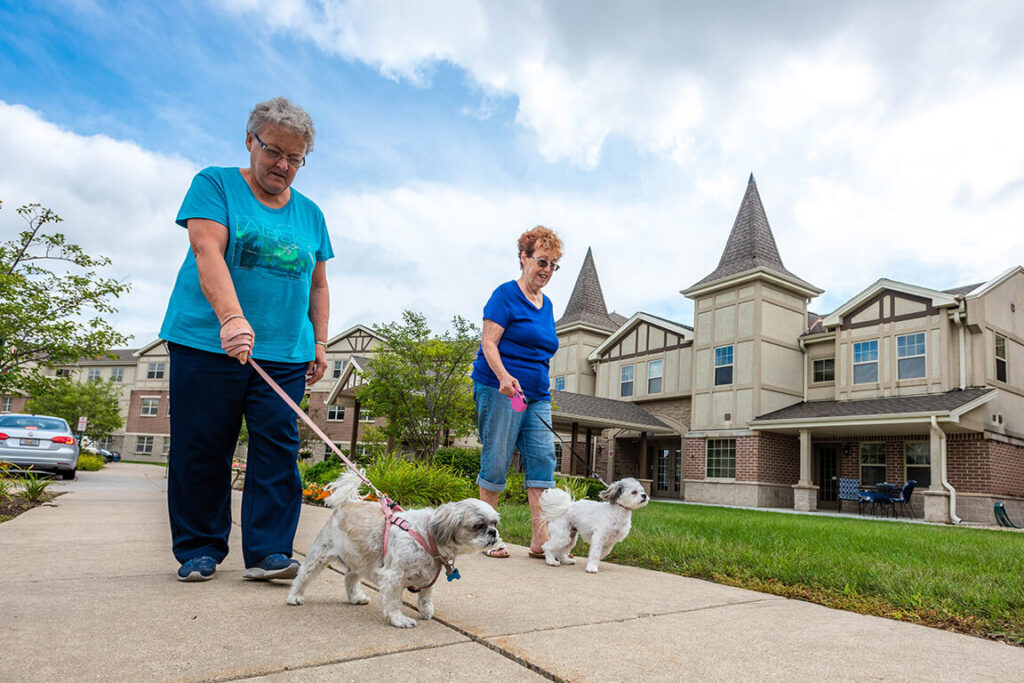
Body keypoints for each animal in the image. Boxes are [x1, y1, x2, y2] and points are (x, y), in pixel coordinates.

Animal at [286, 473, 501, 626]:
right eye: (478, 525)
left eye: (495, 523)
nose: (493, 533)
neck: (427, 536)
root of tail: (346, 504)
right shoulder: (393, 576)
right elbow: (393, 601)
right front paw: (398, 619)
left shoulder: (429, 577)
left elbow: (425, 597)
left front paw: (426, 611)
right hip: (320, 554)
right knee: (303, 575)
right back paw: (294, 596)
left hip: (360, 558)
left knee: (350, 578)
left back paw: (356, 597)